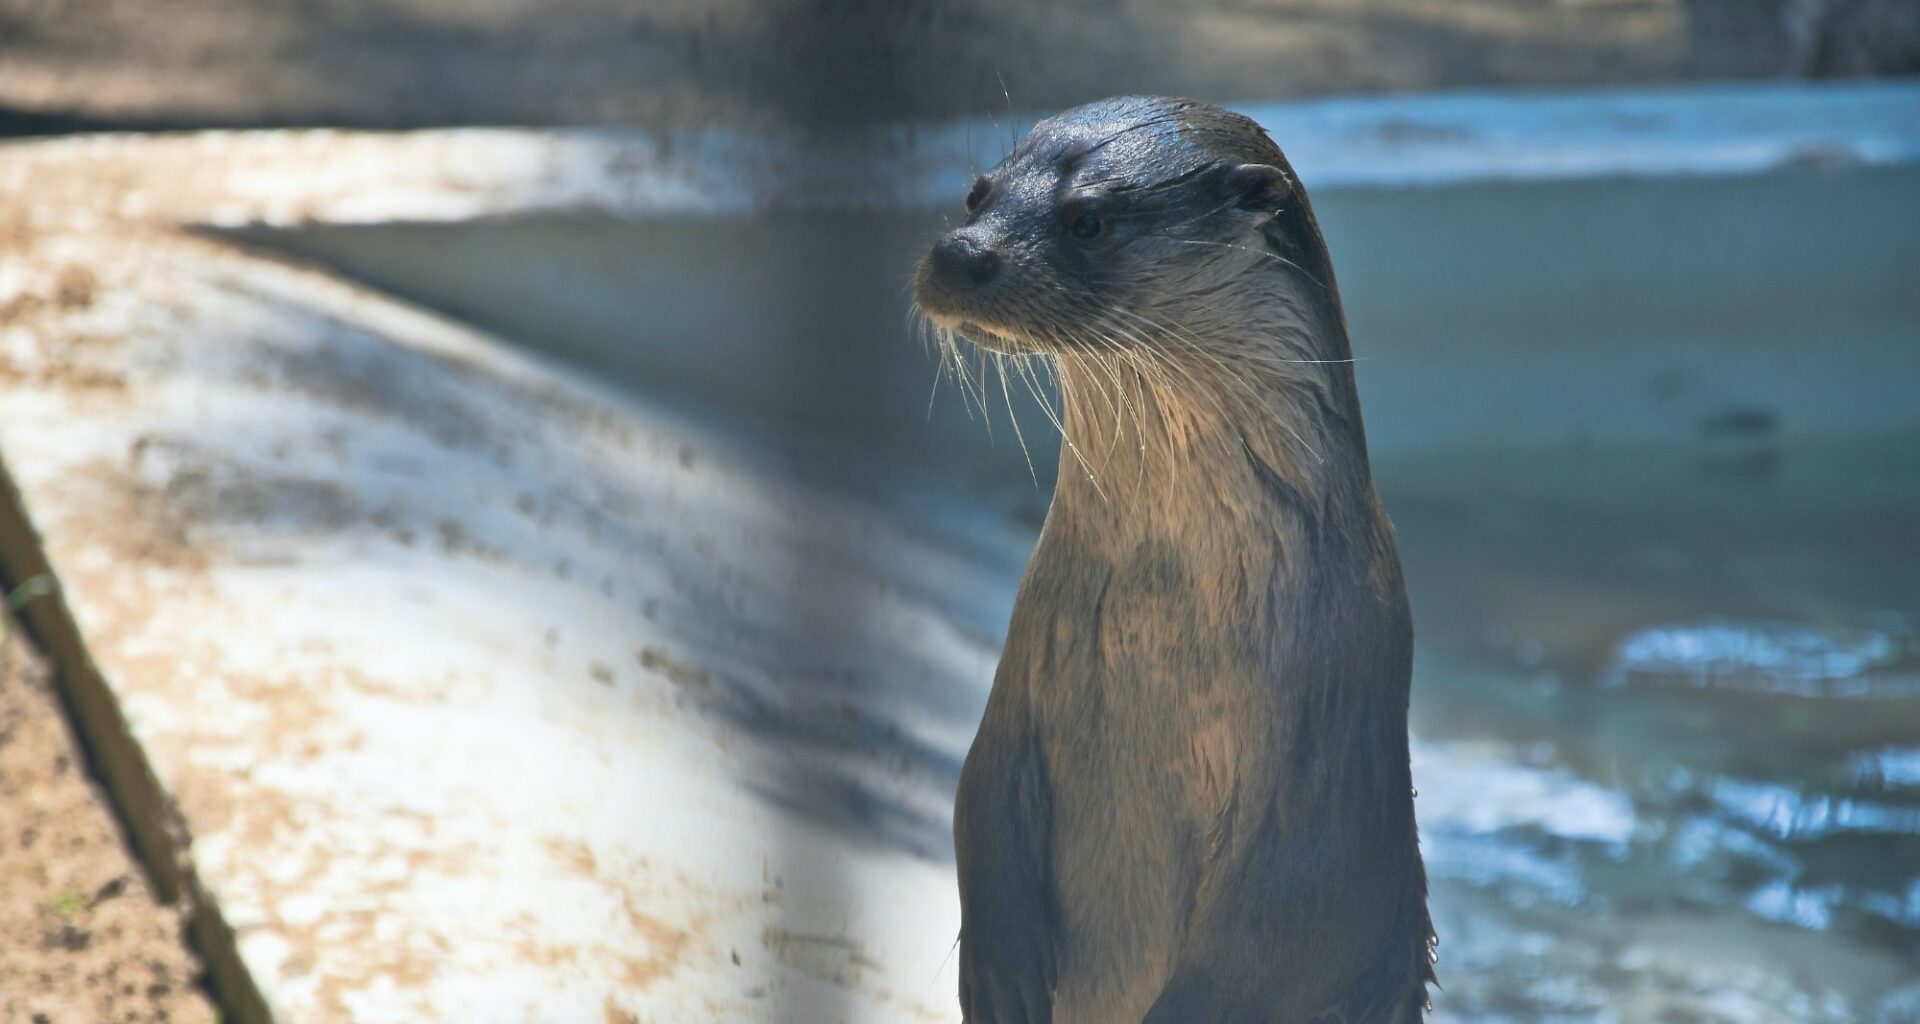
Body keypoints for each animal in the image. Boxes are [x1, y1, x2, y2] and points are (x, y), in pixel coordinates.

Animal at [913, 97, 1435, 1024]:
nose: (961, 251)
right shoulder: (1014, 695)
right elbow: (980, 805)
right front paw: (1002, 983)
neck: (1168, 615)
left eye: (1090, 220)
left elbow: (1273, 934)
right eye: (977, 194)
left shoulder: (1317, 769)